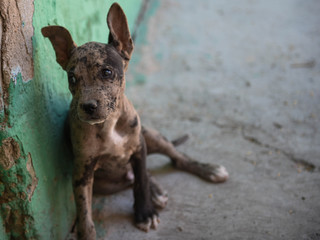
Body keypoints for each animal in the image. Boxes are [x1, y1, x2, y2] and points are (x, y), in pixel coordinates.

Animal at [42, 2, 228, 240]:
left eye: (107, 72)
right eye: (72, 78)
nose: (87, 107)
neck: (110, 124)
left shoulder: (139, 147)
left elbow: (141, 181)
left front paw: (145, 212)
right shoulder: (82, 171)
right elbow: (84, 214)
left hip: (150, 135)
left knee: (176, 158)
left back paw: (208, 170)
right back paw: (157, 191)